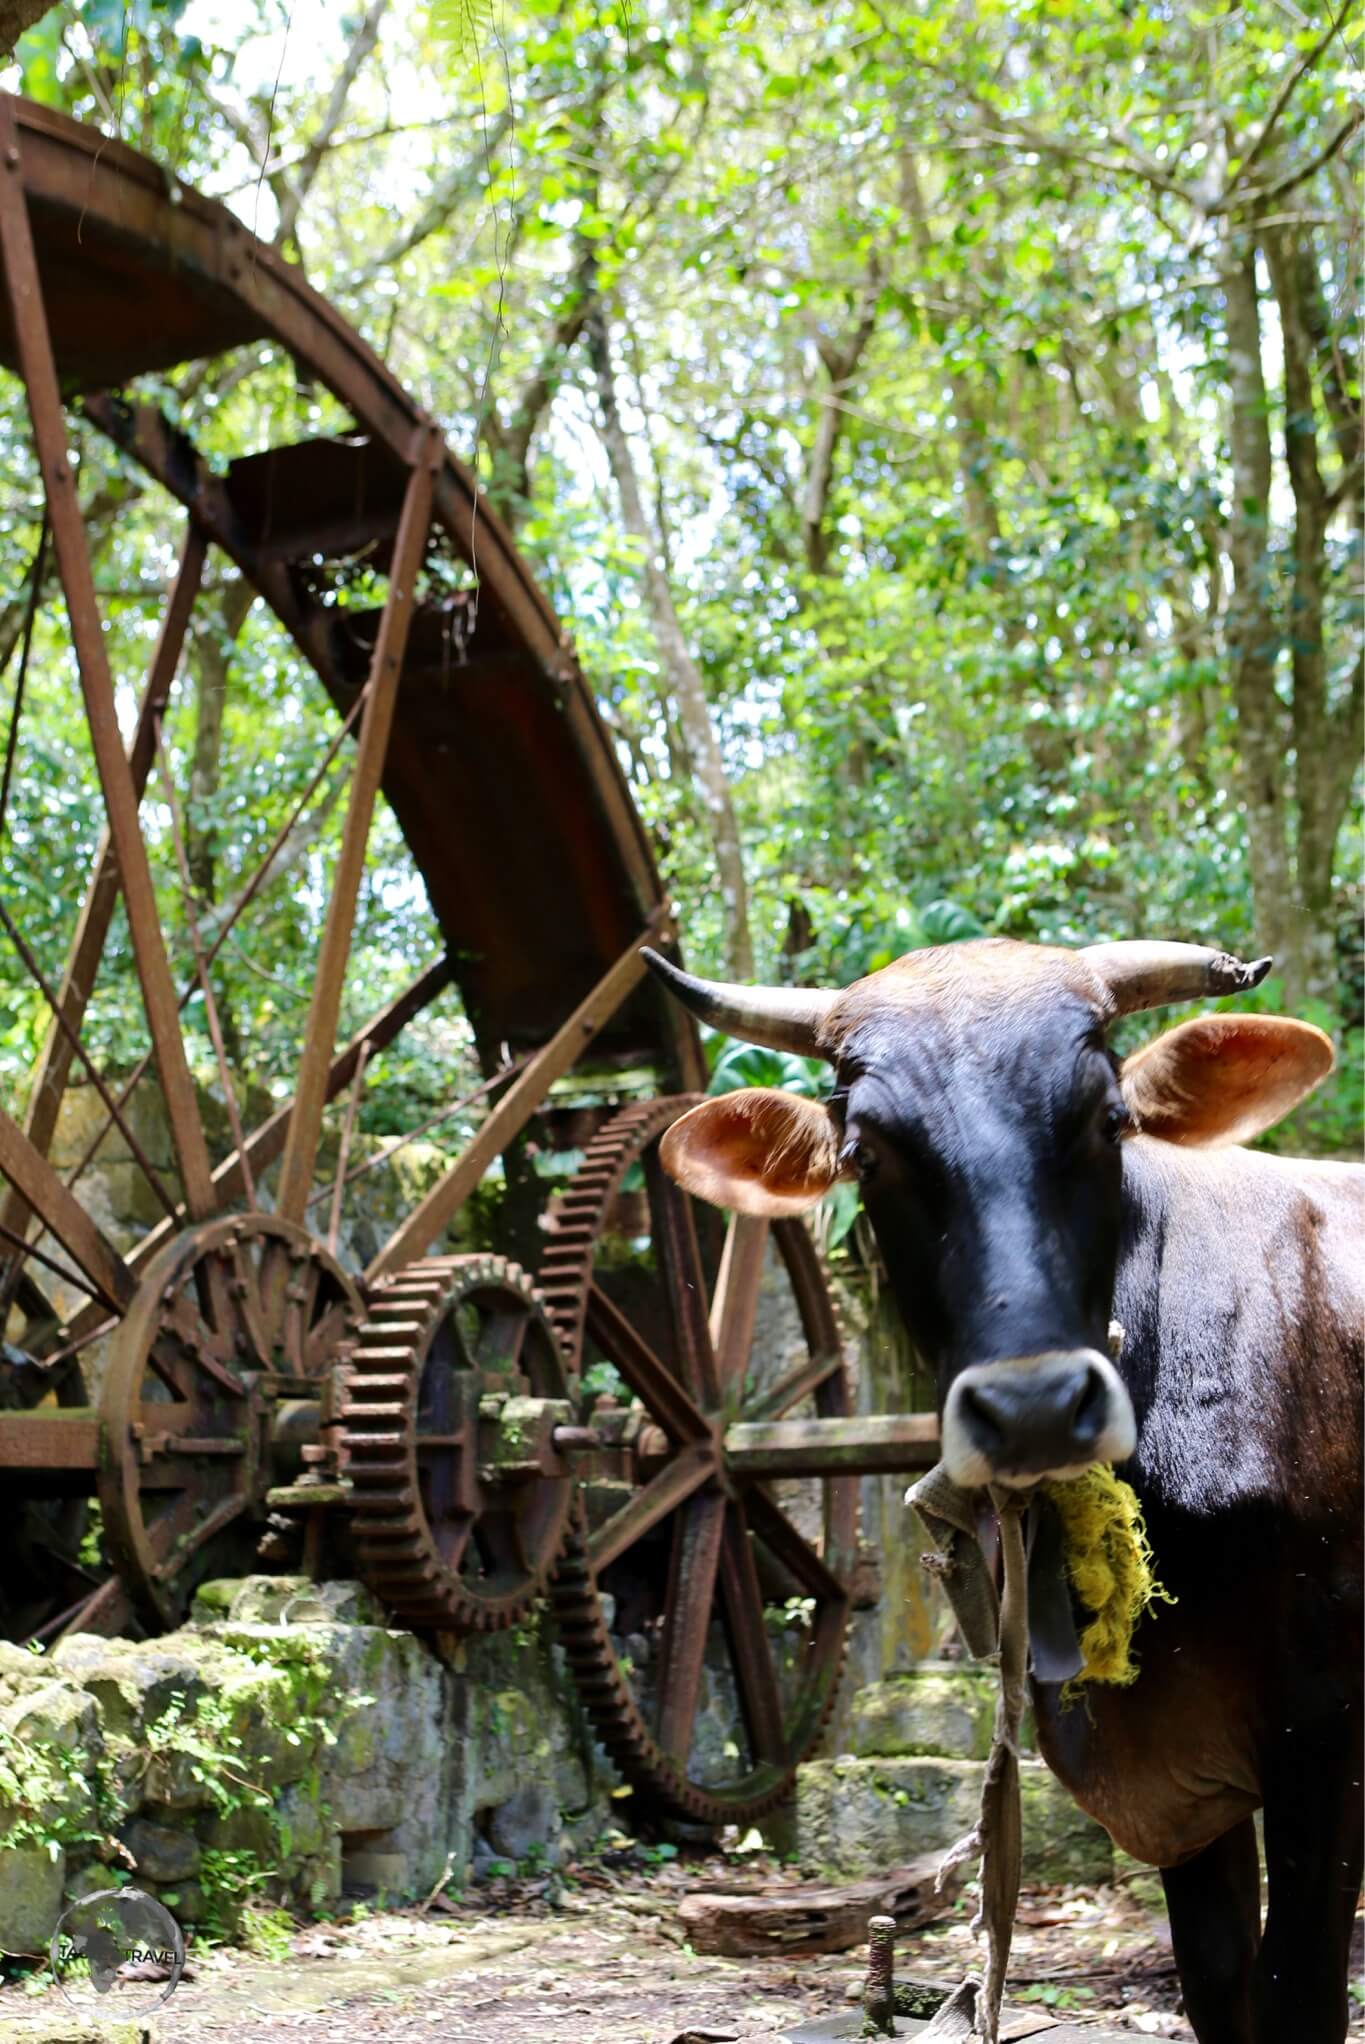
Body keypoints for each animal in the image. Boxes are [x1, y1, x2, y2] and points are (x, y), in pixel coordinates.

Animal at [645, 936, 1356, 2043]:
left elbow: (1294, 1993)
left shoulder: (1321, 1741)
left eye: (1109, 1118)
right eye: (865, 1154)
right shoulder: (1187, 1794)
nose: (1032, 1407)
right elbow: (1216, 1981)